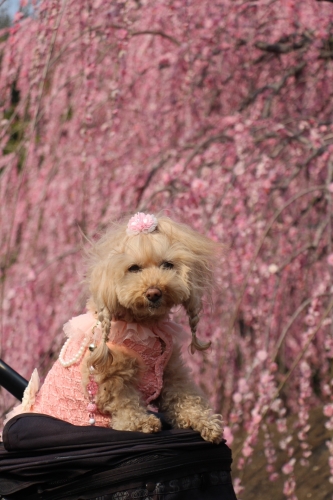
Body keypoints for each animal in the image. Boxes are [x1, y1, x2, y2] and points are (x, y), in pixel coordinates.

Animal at [9, 213, 223, 444]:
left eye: (167, 265)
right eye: (134, 268)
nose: (154, 292)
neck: (144, 324)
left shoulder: (171, 371)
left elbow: (186, 397)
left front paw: (207, 423)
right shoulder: (113, 374)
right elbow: (125, 403)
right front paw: (142, 423)